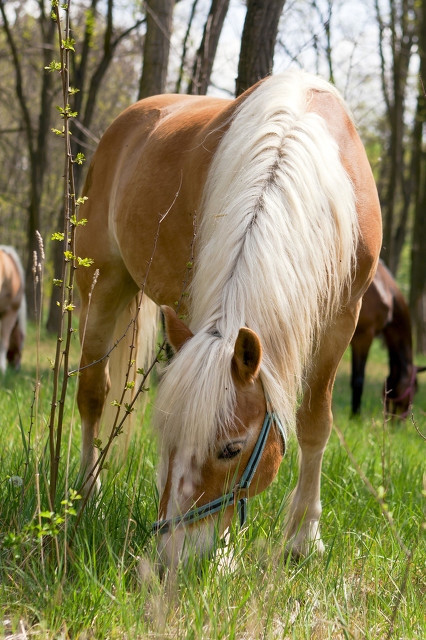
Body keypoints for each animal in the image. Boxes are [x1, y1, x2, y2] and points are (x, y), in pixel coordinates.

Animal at [75, 71, 382, 568]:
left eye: (229, 450)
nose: (173, 556)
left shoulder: (343, 318)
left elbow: (315, 423)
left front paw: (303, 537)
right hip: (100, 285)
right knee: (92, 394)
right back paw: (88, 492)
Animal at [350, 258, 422, 416]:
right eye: (415, 390)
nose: (399, 420)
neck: (386, 291)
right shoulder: (364, 337)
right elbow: (358, 380)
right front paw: (355, 416)